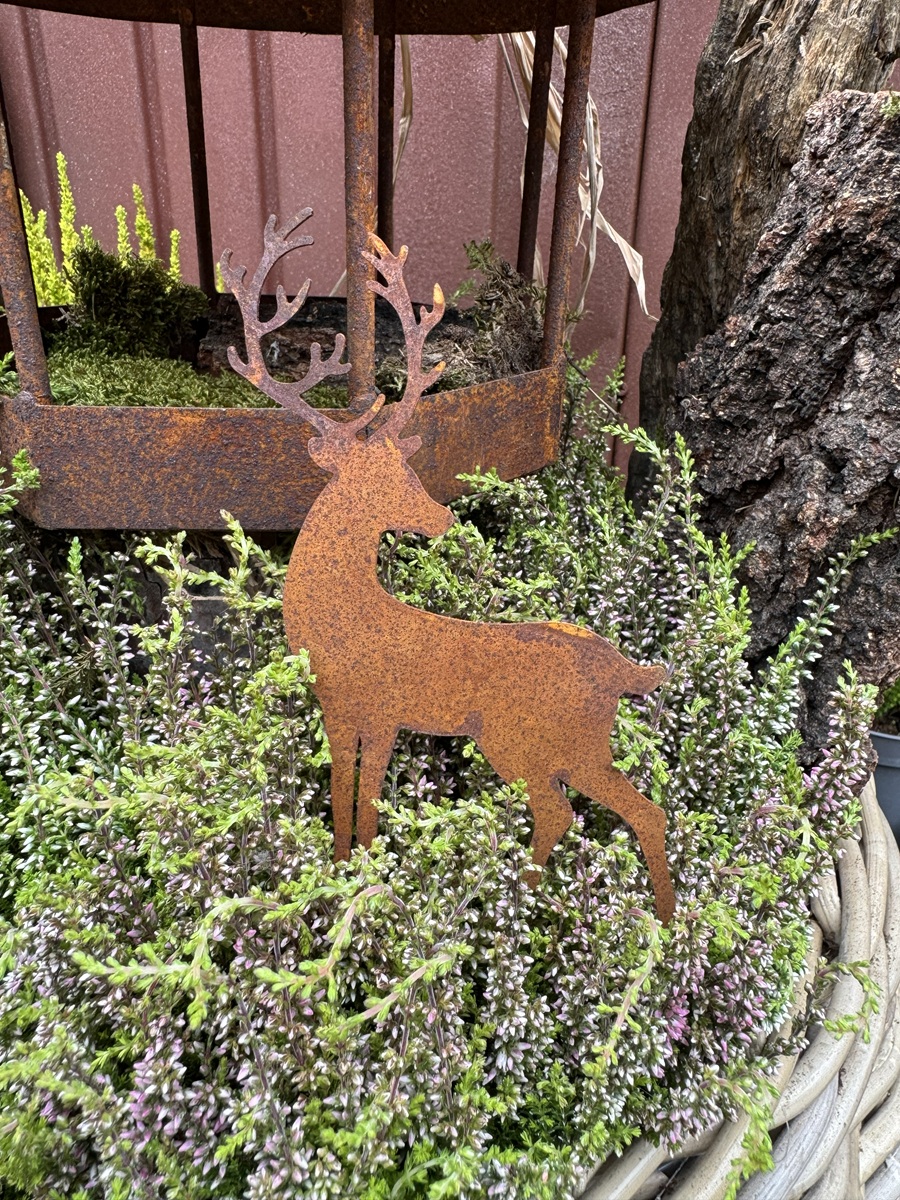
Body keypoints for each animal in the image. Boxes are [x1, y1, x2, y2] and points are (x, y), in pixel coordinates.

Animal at [221, 209, 676, 925]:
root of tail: (623, 670)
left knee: (569, 813)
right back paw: (658, 920)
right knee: (636, 812)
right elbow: (342, 793)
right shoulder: (339, 707)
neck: (344, 617)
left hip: (533, 741)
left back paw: (526, 903)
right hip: (571, 746)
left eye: (405, 468)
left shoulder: (380, 710)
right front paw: (341, 867)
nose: (441, 517)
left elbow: (368, 797)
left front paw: (362, 879)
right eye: (388, 477)